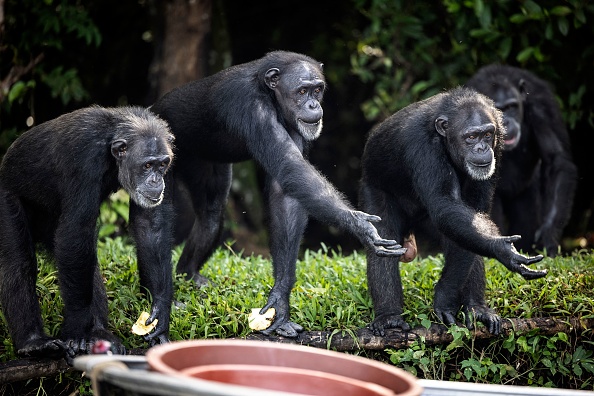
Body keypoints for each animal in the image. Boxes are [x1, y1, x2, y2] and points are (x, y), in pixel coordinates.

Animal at [150, 50, 404, 338]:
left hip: (207, 162)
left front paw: (279, 304)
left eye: (317, 90)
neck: (270, 94)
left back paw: (188, 273)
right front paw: (360, 225)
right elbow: (288, 165)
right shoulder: (249, 105)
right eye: (302, 90)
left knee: (210, 215)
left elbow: (286, 192)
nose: (313, 105)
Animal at [464, 64, 576, 256]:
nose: (506, 122)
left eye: (512, 106)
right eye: (498, 109)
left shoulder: (542, 106)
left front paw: (548, 234)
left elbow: (556, 159)